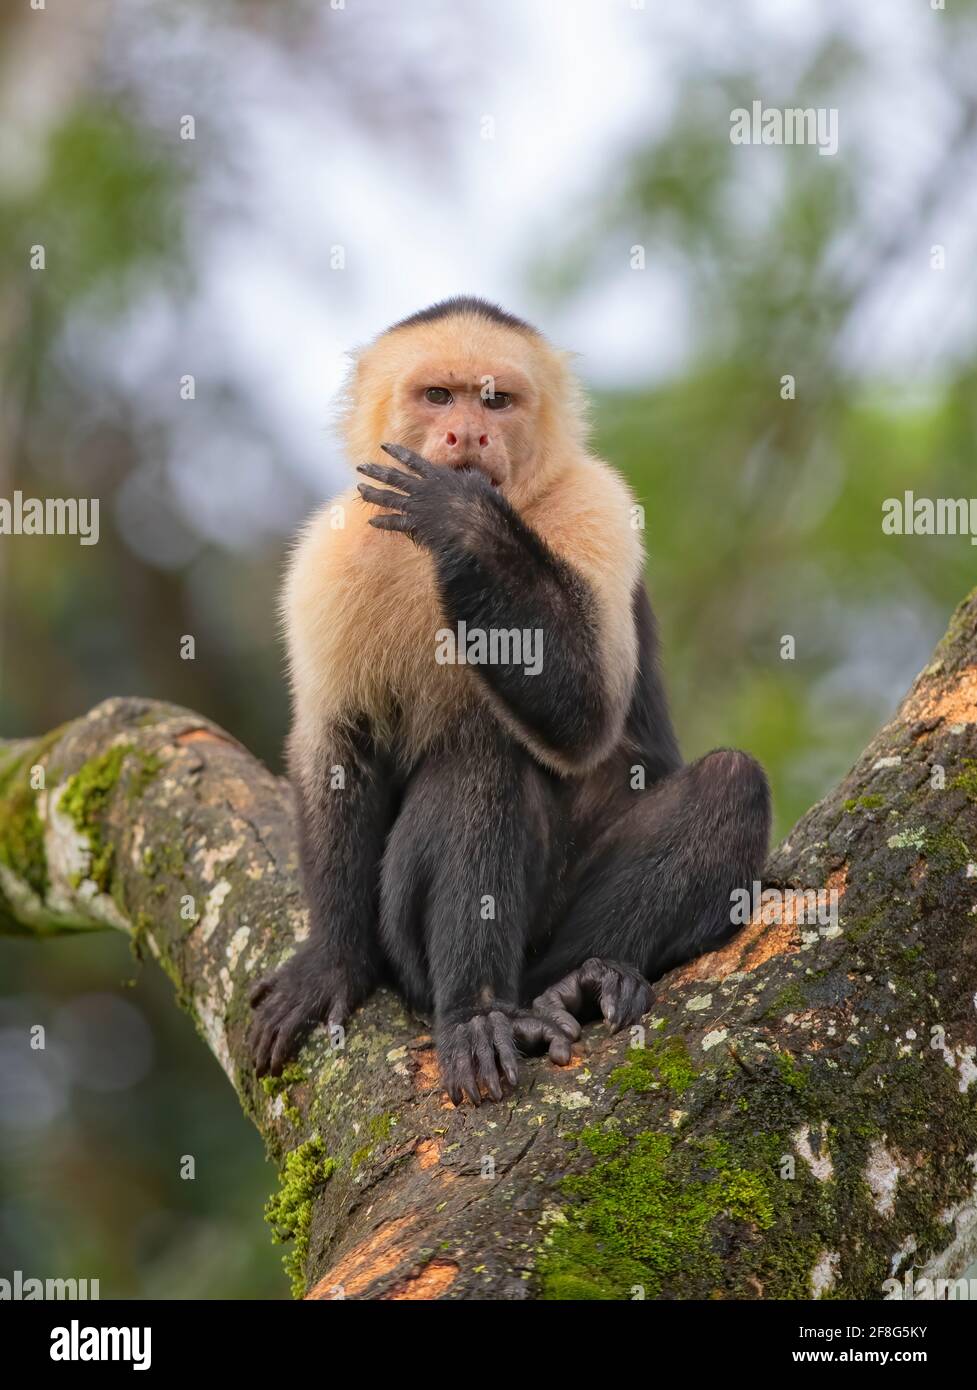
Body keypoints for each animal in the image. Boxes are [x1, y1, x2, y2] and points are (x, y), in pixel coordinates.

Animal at [245, 296, 772, 1106]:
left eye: (495, 400)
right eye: (439, 396)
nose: (467, 434)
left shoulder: (596, 502)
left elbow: (588, 714)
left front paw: (461, 518)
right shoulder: (327, 557)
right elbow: (337, 744)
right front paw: (332, 960)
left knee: (723, 780)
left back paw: (567, 985)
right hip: (410, 953)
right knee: (482, 760)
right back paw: (483, 1009)